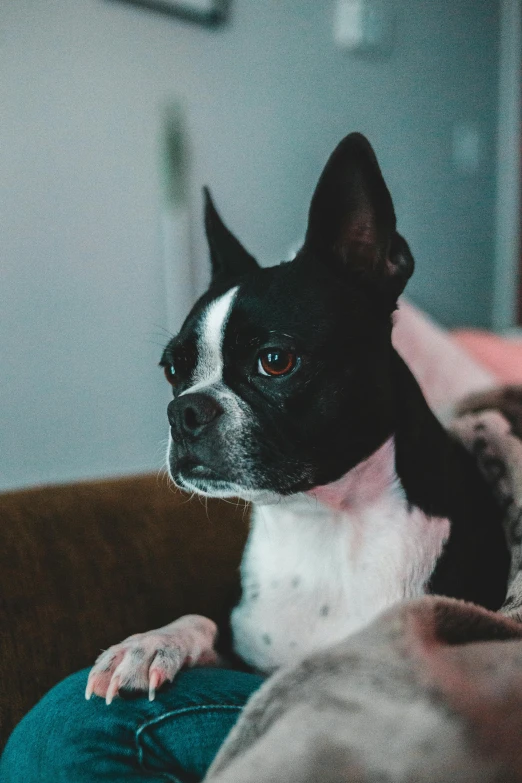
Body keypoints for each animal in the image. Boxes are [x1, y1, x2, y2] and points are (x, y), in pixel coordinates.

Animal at [86, 130, 508, 704]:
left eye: (275, 360)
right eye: (173, 369)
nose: (184, 410)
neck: (321, 522)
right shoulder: (246, 652)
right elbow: (203, 620)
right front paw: (150, 643)